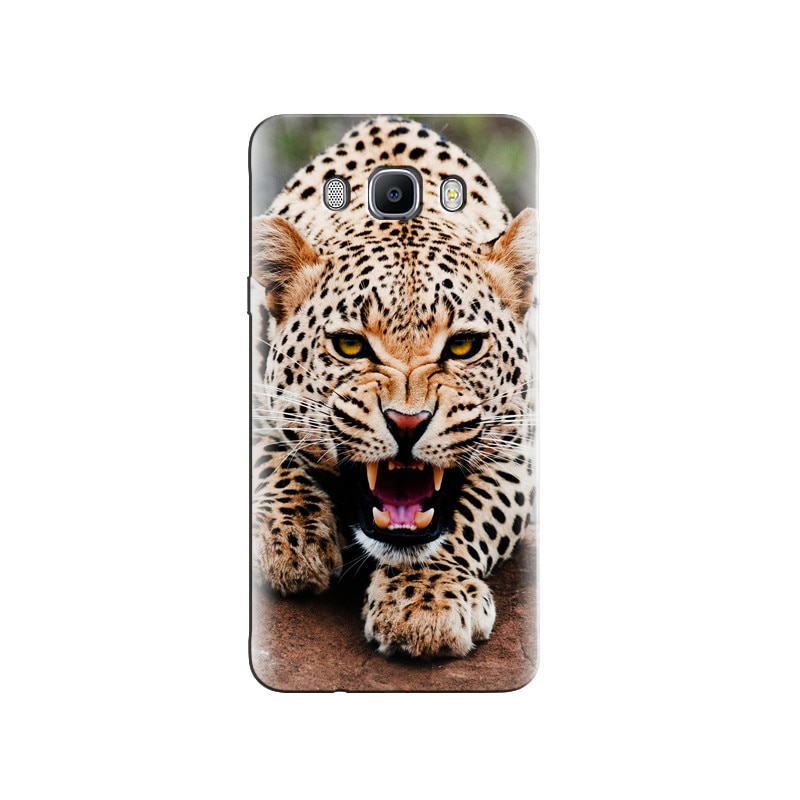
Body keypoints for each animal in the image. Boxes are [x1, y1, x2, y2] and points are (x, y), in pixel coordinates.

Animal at [251, 116, 537, 658]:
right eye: (350, 345)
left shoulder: (522, 444)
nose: (407, 423)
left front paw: (425, 600)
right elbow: (268, 455)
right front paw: (291, 540)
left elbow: (472, 515)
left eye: (464, 346)